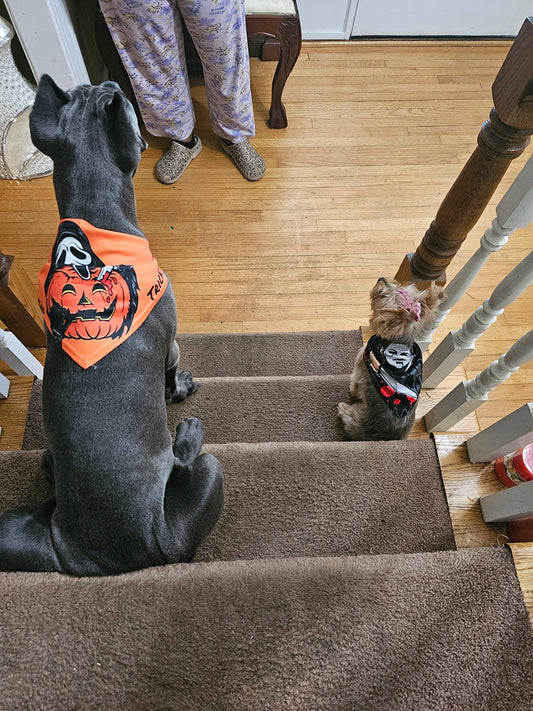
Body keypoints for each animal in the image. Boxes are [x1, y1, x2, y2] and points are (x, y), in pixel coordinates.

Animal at [0, 76, 222, 580]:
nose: (106, 79)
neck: (94, 210)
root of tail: (85, 552)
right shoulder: (171, 342)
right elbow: (168, 378)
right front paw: (178, 391)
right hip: (208, 478)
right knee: (192, 480)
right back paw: (186, 439)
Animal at [336, 278, 444, 440]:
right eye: (401, 285)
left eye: (383, 296)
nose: (381, 279)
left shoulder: (361, 365)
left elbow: (354, 383)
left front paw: (352, 392)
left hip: (352, 417)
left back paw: (342, 408)